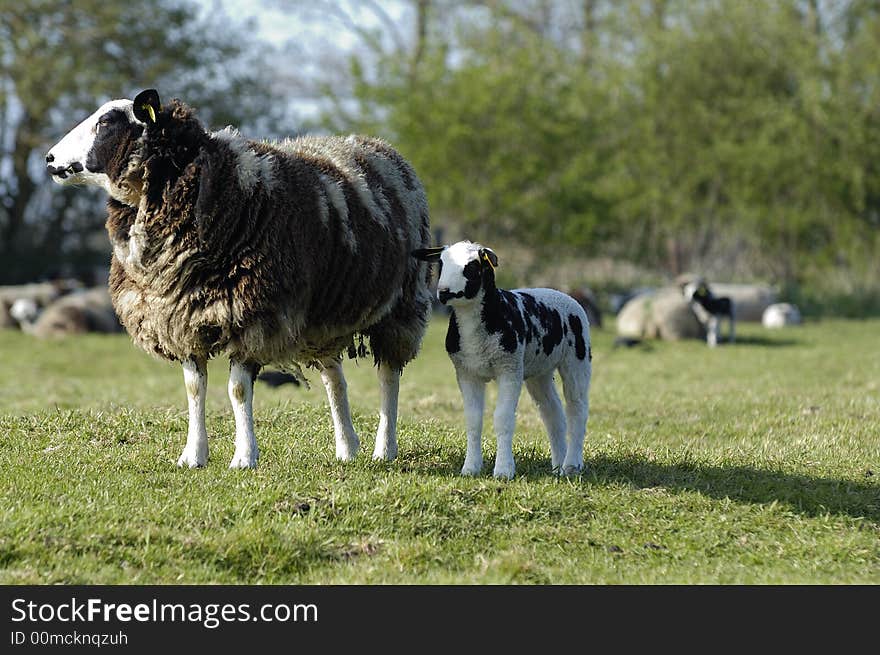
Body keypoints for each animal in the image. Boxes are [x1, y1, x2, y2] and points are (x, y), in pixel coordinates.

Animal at [48, 91, 434, 472]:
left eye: (107, 121)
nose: (50, 159)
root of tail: (377, 145)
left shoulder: (252, 317)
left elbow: (237, 390)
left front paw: (244, 457)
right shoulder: (181, 318)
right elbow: (193, 388)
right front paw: (193, 456)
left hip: (401, 307)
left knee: (388, 377)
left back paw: (384, 449)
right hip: (321, 320)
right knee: (334, 379)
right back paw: (347, 448)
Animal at [412, 243, 592, 480]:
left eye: (472, 267)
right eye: (441, 263)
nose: (443, 292)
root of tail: (562, 294)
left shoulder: (509, 369)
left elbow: (503, 419)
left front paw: (504, 470)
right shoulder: (466, 372)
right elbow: (473, 420)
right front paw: (470, 468)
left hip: (576, 359)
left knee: (577, 410)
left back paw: (572, 465)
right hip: (539, 372)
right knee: (553, 414)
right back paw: (558, 467)